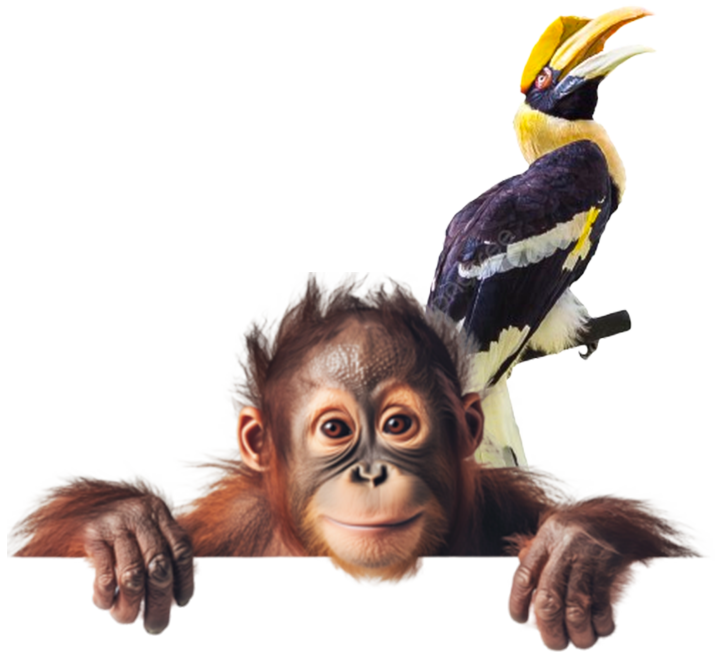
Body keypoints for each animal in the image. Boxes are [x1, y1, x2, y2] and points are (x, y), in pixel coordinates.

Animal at [13, 274, 696, 650]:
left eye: (398, 425)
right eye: (336, 430)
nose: (370, 473)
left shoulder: (507, 505)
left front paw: (579, 549)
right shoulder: (233, 521)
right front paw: (122, 529)